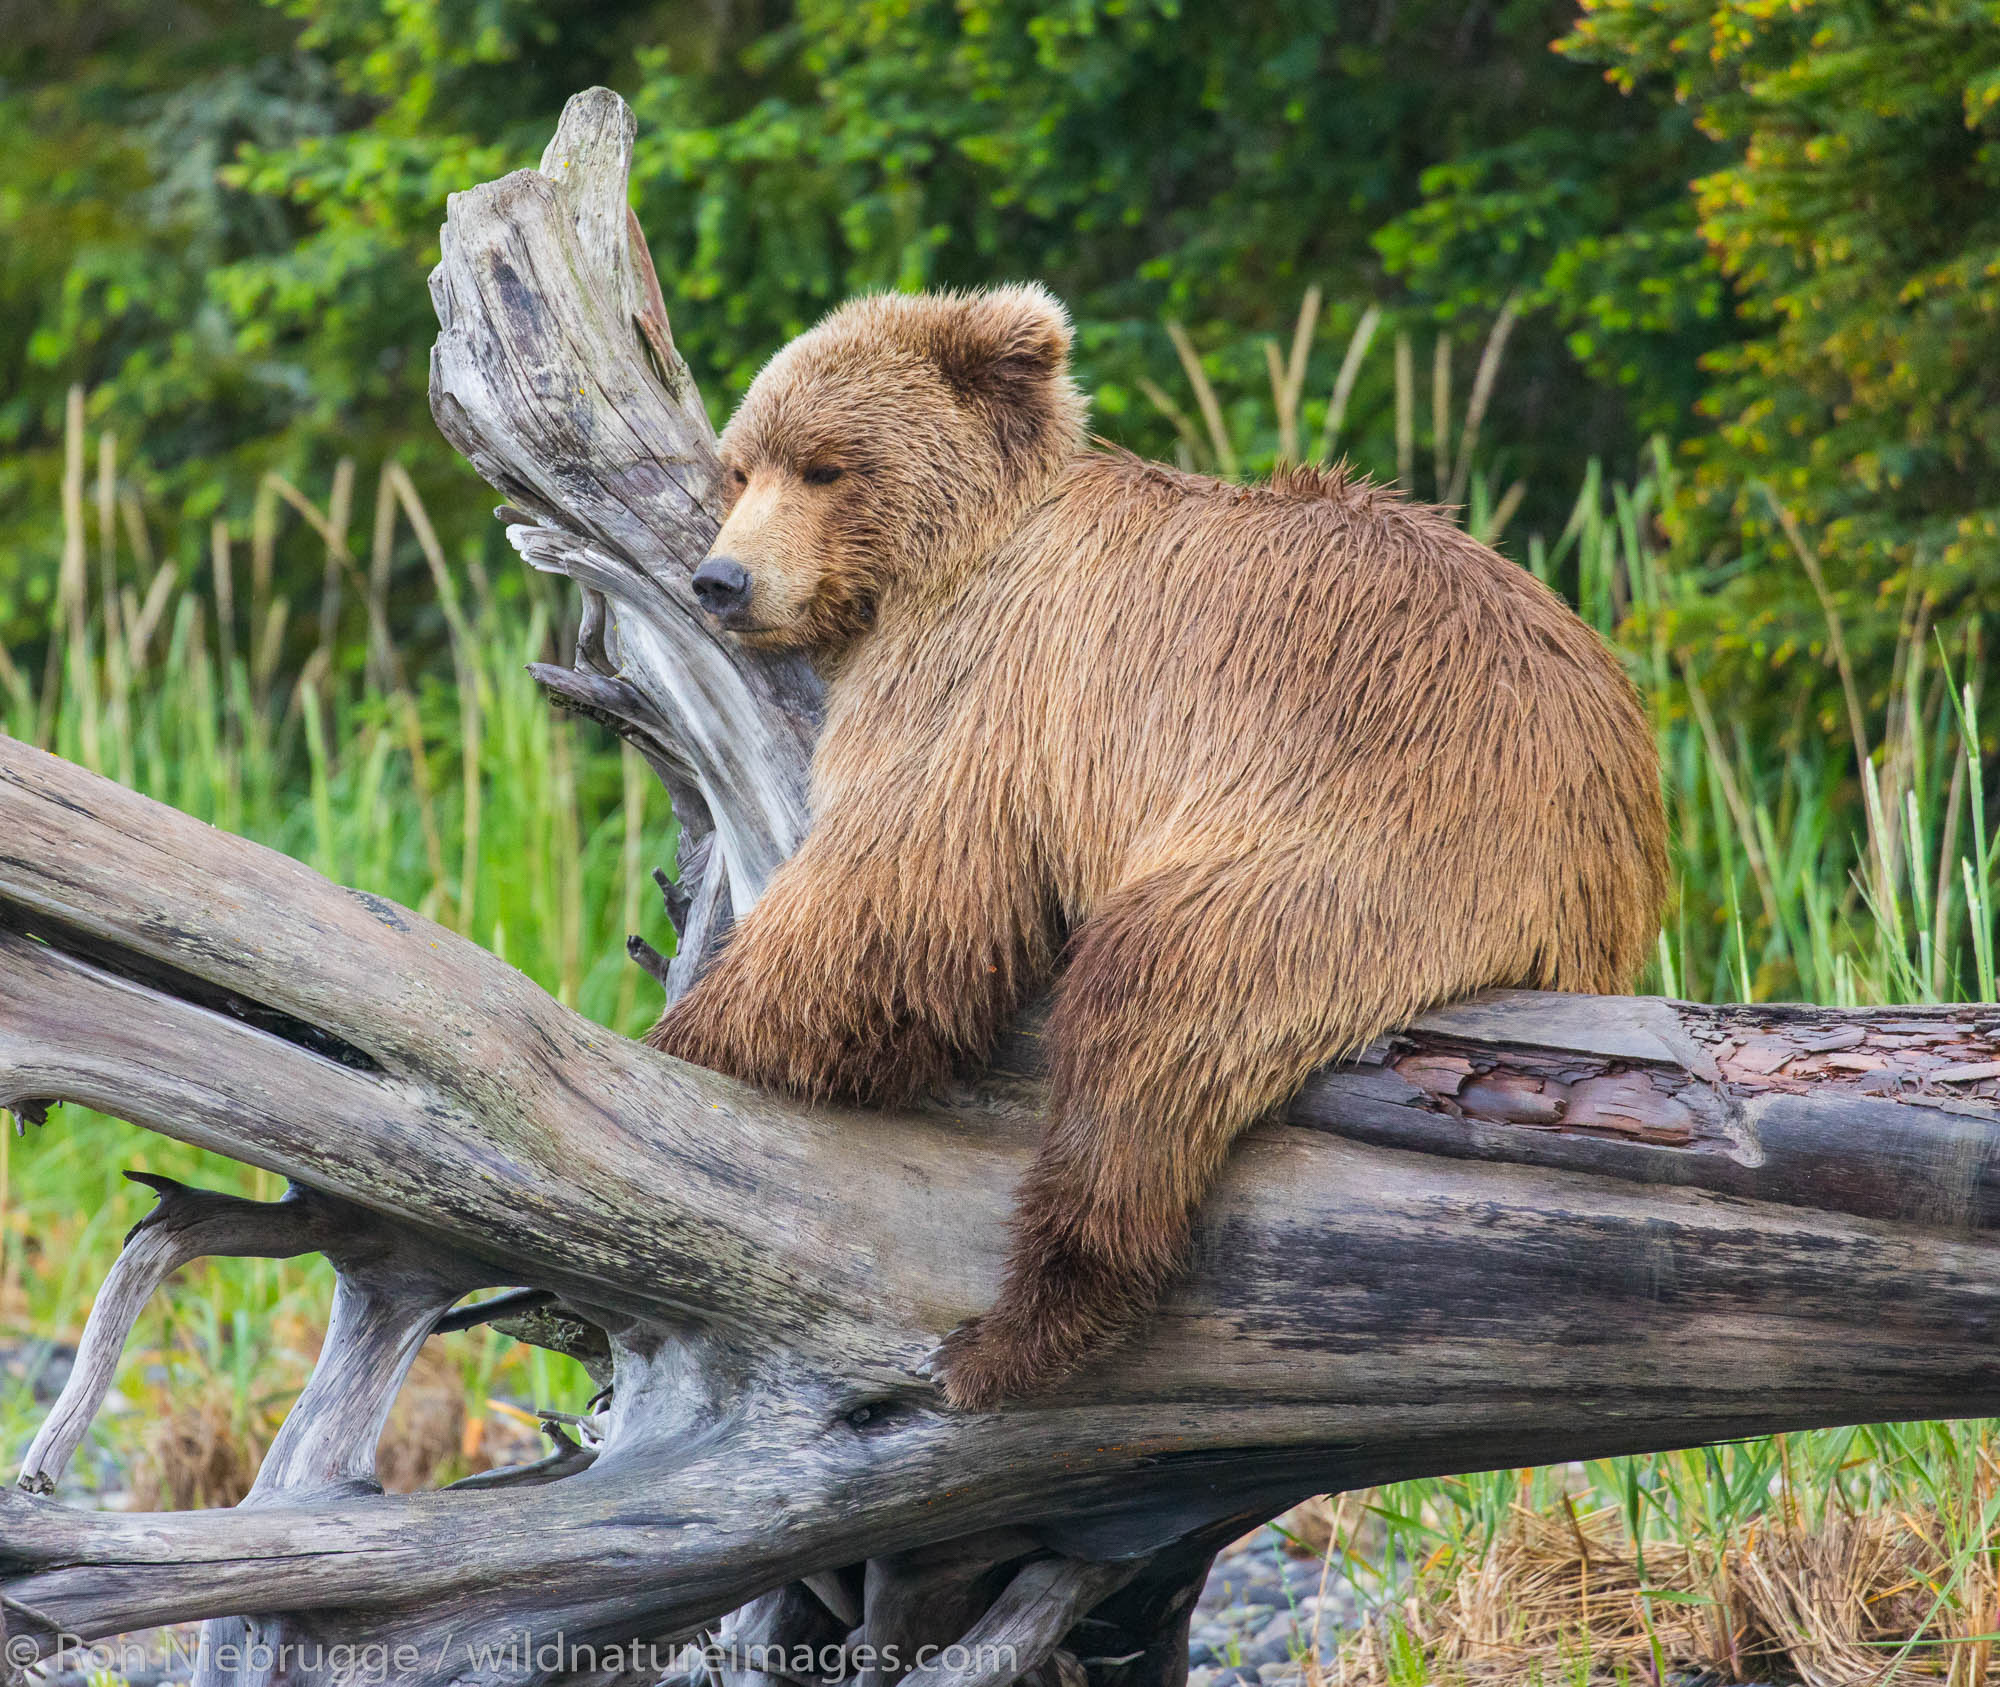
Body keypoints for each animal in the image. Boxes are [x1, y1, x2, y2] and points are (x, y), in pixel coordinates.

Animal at [648, 283, 1664, 1407]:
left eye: (826, 465)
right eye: (742, 467)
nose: (720, 580)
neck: (945, 558)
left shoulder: (985, 677)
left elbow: (895, 895)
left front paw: (689, 1034)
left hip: (1346, 850)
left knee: (1143, 1021)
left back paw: (1009, 1336)